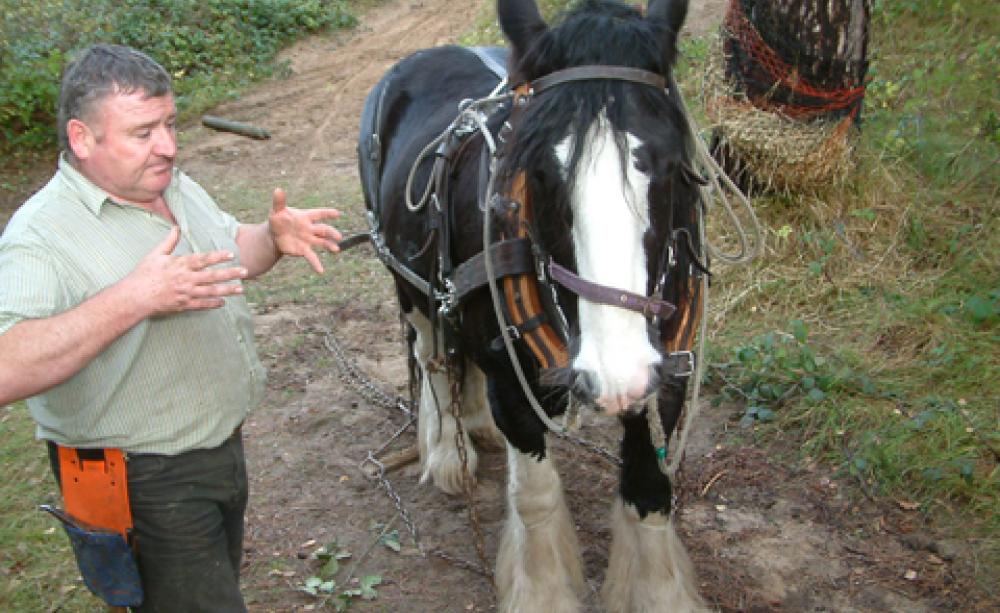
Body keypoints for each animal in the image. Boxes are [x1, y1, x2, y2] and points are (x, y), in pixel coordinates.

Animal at [357, 0, 709, 610]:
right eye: (542, 172)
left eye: (668, 163)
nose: (613, 369)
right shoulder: (511, 381)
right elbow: (537, 496)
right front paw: (544, 590)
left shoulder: (665, 375)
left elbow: (650, 493)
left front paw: (657, 592)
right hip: (408, 281)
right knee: (434, 357)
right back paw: (449, 454)